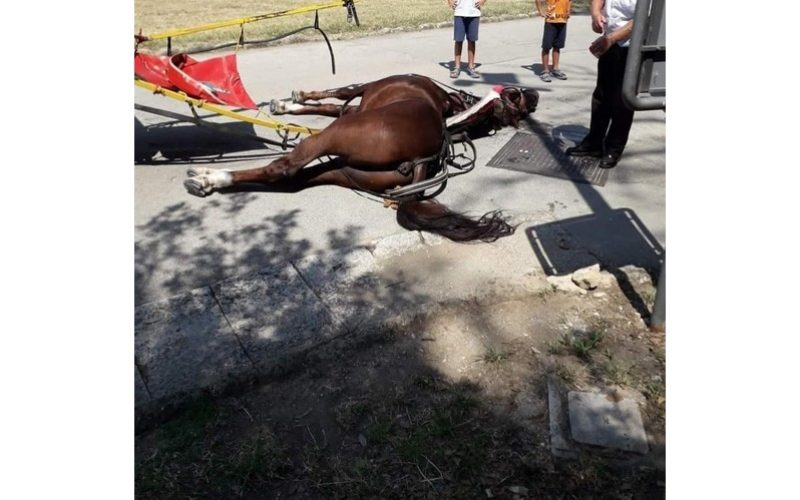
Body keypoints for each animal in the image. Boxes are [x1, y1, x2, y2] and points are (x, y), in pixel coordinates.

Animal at [184, 73, 540, 242]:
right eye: (518, 96)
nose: (535, 94)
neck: (451, 108)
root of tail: (422, 158)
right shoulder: (357, 106)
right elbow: (329, 105)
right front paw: (288, 105)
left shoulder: (363, 92)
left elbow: (337, 94)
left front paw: (291, 101)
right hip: (343, 170)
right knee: (295, 181)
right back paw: (212, 181)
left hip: (332, 136)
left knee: (284, 168)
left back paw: (210, 178)